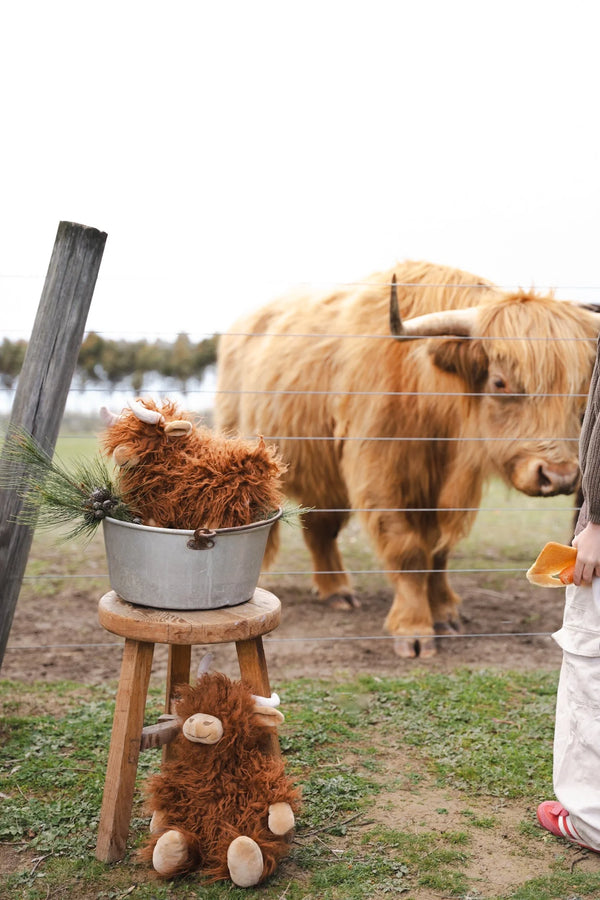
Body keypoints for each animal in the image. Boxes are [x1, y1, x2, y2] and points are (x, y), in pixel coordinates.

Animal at [214, 260, 600, 658]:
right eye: (499, 382)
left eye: (576, 389)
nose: (558, 475)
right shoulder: (380, 476)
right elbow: (409, 552)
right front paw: (414, 630)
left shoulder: (444, 491)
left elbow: (439, 554)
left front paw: (445, 614)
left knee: (322, 528)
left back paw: (337, 591)